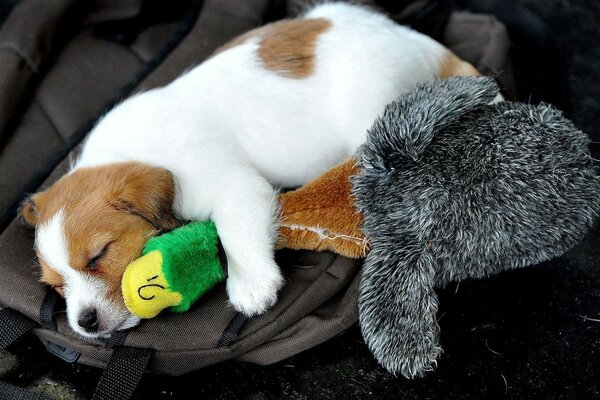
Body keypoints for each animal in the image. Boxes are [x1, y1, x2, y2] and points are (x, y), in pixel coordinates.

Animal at [18, 4, 480, 340]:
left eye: (98, 255)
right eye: (56, 285)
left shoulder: (231, 186)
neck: (129, 150)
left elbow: (234, 228)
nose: (84, 322)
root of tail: (416, 43)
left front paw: (251, 284)